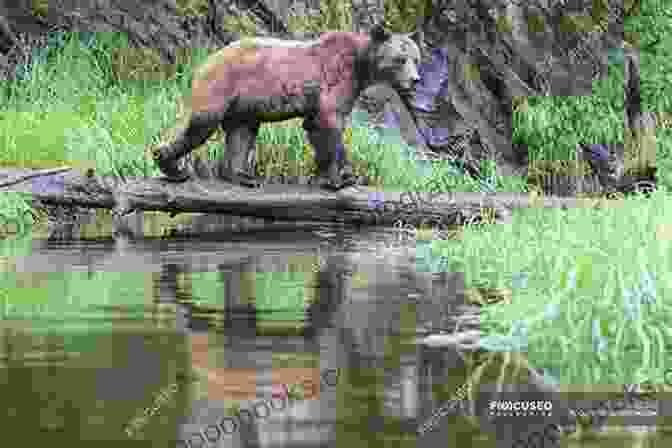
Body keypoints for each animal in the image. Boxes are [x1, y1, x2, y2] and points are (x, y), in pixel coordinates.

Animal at [155, 24, 422, 191]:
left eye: (416, 58)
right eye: (400, 59)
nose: (415, 80)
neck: (361, 68)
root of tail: (205, 61)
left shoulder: (320, 99)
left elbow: (315, 127)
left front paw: (325, 175)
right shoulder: (335, 82)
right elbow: (332, 123)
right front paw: (343, 177)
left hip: (243, 105)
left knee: (241, 134)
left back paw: (241, 176)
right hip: (221, 86)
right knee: (200, 124)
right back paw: (171, 165)